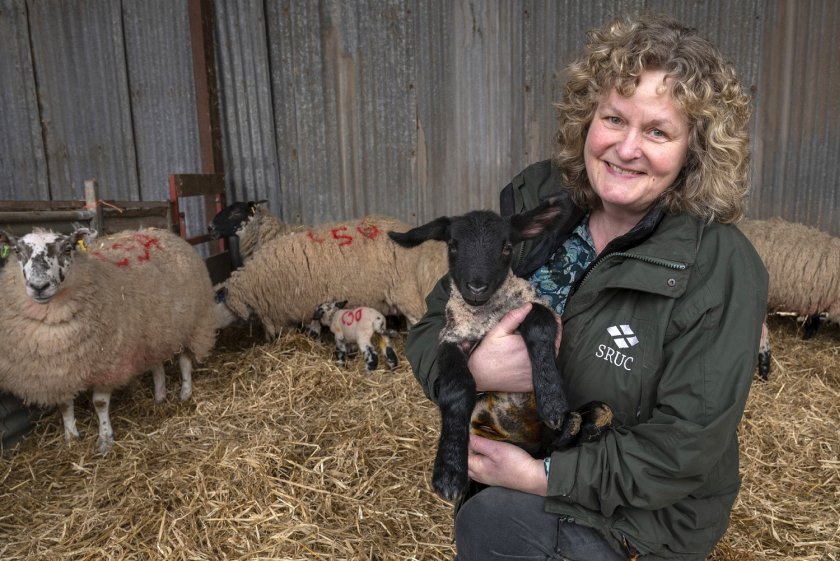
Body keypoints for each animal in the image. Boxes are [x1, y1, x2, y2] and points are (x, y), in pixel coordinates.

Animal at [0, 225, 220, 452]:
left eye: (68, 249)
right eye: (17, 251)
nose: (39, 286)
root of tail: (161, 231)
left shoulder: (108, 363)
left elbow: (100, 403)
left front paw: (105, 439)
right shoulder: (60, 372)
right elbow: (64, 405)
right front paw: (71, 437)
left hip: (193, 323)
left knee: (185, 360)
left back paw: (185, 392)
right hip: (153, 331)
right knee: (156, 364)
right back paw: (160, 396)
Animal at [388, 196, 612, 498]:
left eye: (506, 247)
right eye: (453, 245)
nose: (476, 287)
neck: (486, 316)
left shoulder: (532, 306)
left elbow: (540, 326)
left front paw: (552, 400)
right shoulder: (453, 338)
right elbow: (457, 388)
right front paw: (449, 471)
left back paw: (575, 425)